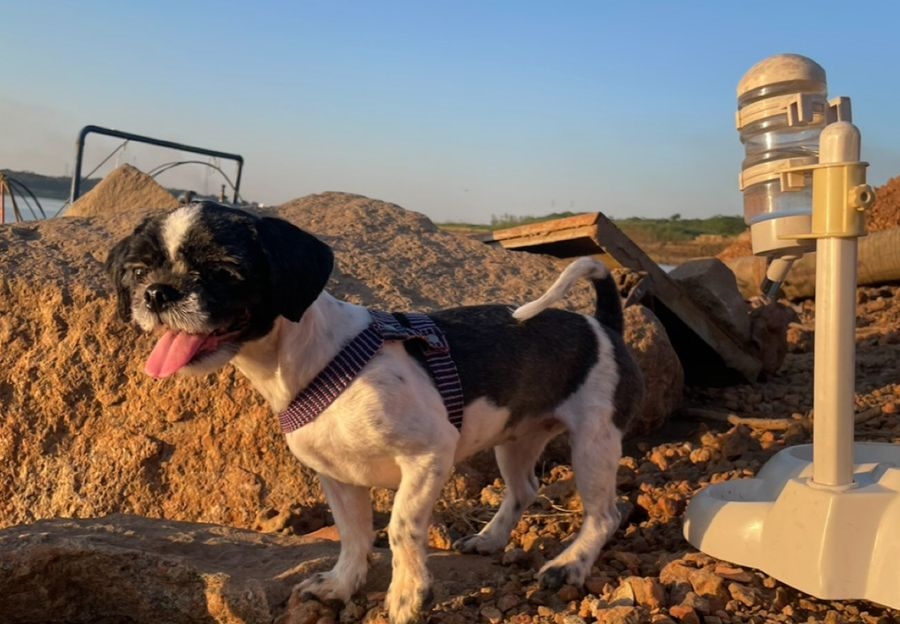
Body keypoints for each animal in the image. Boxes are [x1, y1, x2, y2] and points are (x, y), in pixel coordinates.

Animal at [105, 202, 644, 620]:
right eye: (137, 271)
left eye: (222, 269)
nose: (156, 293)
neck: (310, 358)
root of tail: (603, 325)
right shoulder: (338, 477)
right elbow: (353, 535)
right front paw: (341, 585)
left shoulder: (429, 457)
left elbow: (401, 528)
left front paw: (407, 595)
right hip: (516, 440)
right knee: (525, 489)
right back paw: (490, 539)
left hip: (595, 443)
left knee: (605, 514)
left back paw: (570, 564)